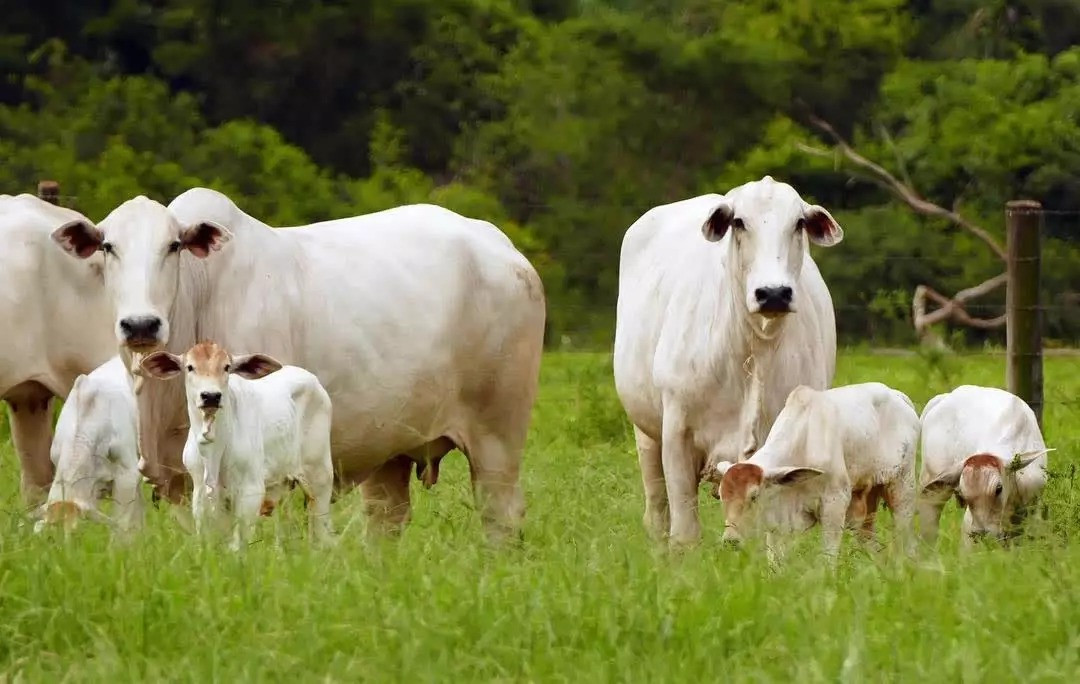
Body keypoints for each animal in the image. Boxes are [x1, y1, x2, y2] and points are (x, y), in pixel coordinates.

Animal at [142, 341, 334, 549]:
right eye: (190, 367)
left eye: (227, 367)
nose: (211, 396)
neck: (214, 451)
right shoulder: (202, 491)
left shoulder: (251, 490)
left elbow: (238, 544)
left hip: (319, 476)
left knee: (321, 526)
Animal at [613, 176, 843, 546]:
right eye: (738, 222)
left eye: (798, 223)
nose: (773, 293)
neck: (753, 347)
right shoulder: (676, 433)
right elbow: (685, 532)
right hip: (646, 433)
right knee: (657, 511)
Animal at [713, 383, 919, 563]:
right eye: (722, 497)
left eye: (754, 496)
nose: (730, 541)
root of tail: (898, 396)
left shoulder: (835, 503)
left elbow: (828, 557)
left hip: (902, 490)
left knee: (906, 540)